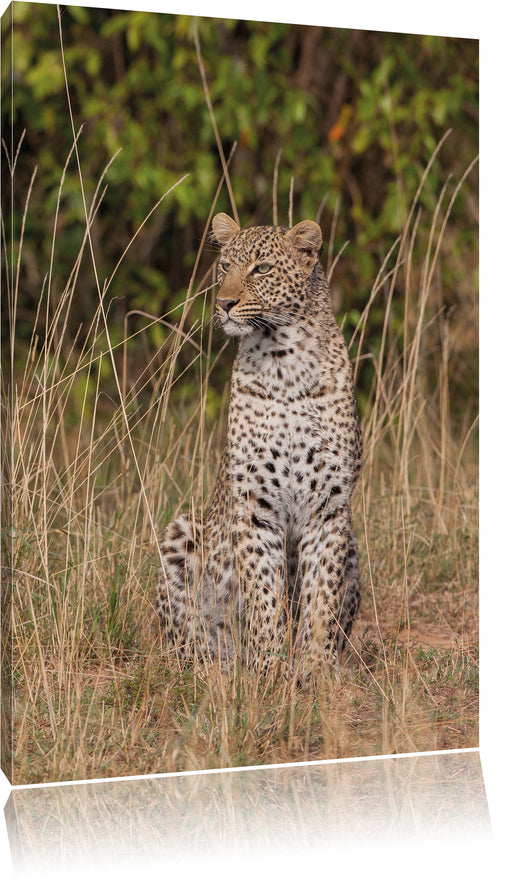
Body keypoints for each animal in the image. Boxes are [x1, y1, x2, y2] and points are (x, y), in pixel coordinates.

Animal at [154, 214, 362, 676]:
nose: (224, 303)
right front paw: (270, 670)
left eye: (262, 269)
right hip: (182, 532)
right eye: (225, 266)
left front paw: (314, 671)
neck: (284, 362)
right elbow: (263, 593)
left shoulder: (330, 506)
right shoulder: (253, 506)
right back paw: (214, 668)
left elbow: (321, 596)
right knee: (185, 639)